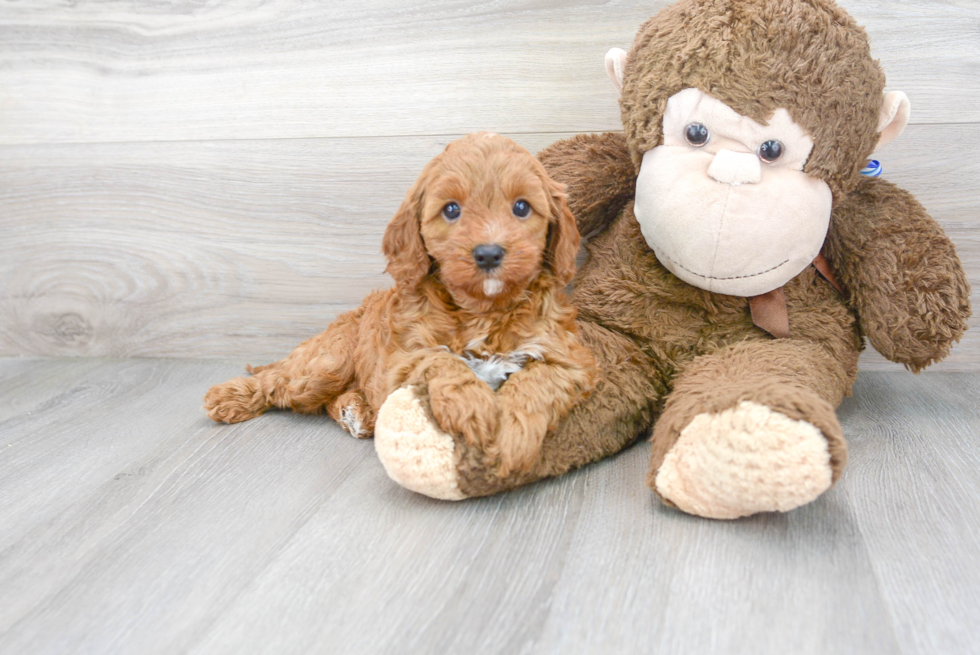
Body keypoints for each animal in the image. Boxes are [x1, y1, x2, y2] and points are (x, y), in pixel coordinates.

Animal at [207, 133, 596, 476]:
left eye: (521, 207)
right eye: (451, 209)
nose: (488, 253)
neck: (483, 310)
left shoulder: (569, 359)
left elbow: (535, 384)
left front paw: (512, 438)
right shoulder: (400, 359)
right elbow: (441, 360)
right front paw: (473, 408)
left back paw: (356, 411)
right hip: (327, 363)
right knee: (279, 381)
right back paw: (227, 397)